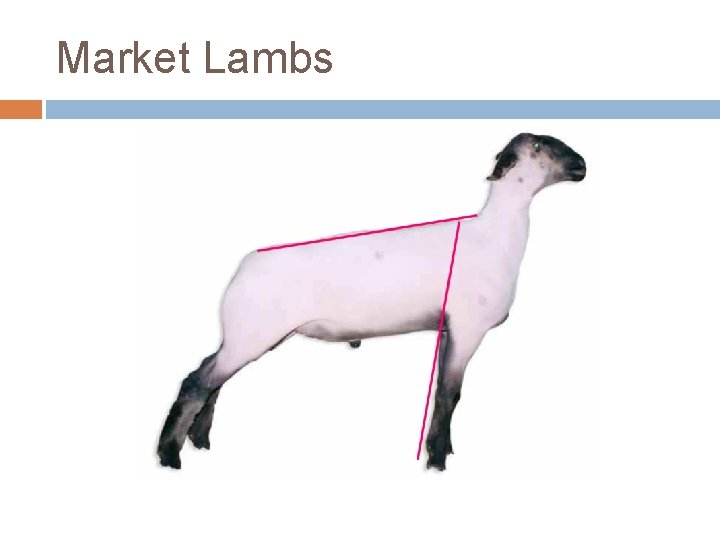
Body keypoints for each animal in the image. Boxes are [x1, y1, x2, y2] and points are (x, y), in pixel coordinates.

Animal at [157, 132, 587, 471]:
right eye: (538, 145)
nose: (582, 165)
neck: (497, 233)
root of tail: (243, 269)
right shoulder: (468, 326)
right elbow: (449, 393)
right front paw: (437, 460)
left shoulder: (450, 329)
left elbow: (444, 392)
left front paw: (442, 449)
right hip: (252, 333)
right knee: (197, 383)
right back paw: (169, 455)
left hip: (248, 334)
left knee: (211, 379)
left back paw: (199, 441)